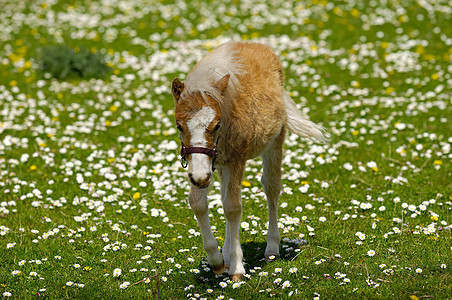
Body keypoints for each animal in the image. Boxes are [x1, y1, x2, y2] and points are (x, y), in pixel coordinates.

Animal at [171, 40, 326, 282]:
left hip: (274, 141)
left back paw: (271, 249)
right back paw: (226, 255)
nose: (200, 178)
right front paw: (217, 262)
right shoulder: (206, 166)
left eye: (216, 125)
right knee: (224, 195)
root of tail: (257, 44)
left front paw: (236, 269)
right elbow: (198, 202)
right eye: (179, 125)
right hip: (221, 165)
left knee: (271, 186)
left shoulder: (236, 159)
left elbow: (233, 207)